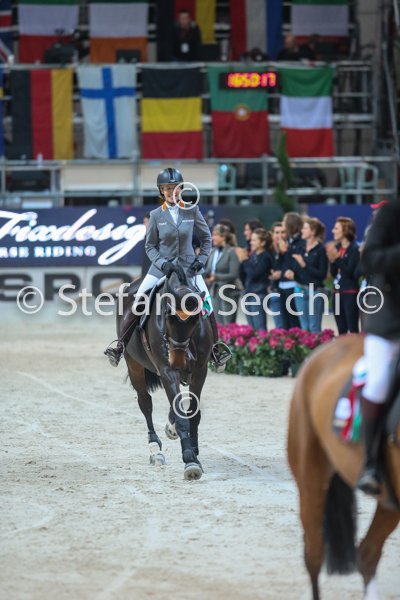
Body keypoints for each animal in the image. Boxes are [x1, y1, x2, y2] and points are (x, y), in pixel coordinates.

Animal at [118, 269, 213, 480]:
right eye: (168, 317)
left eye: (195, 320)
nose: (177, 360)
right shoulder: (167, 371)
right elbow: (181, 416)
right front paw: (190, 461)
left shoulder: (200, 371)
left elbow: (192, 412)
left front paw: (193, 451)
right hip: (134, 364)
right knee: (145, 403)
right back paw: (155, 450)